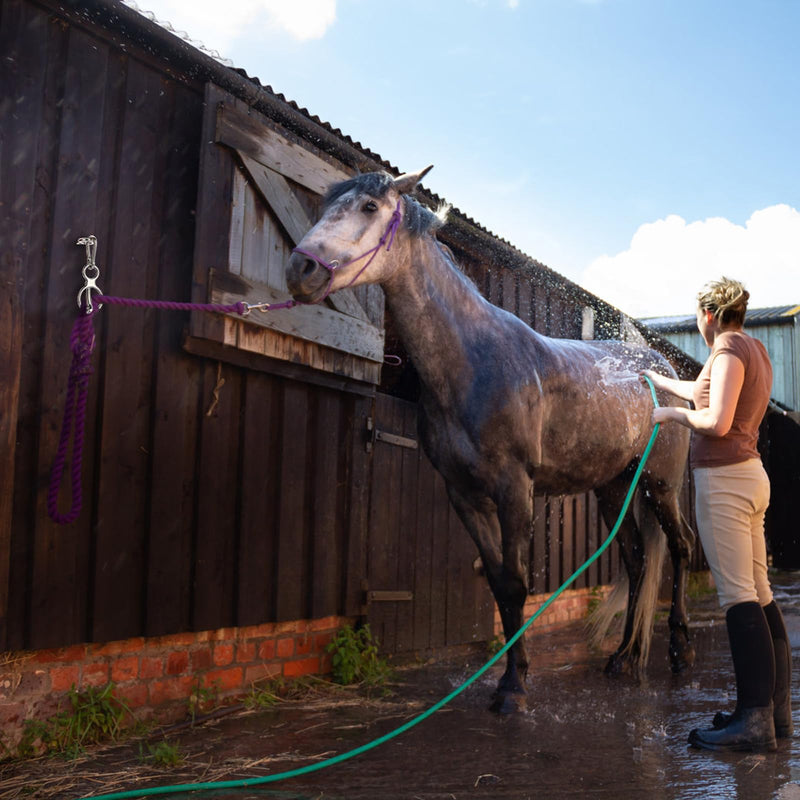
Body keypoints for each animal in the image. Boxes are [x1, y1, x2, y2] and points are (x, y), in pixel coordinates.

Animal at [286, 167, 696, 713]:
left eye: (370, 207)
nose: (300, 269)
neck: (472, 362)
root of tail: (661, 367)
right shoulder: (464, 495)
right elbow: (501, 585)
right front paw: (510, 677)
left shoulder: (514, 489)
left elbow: (518, 583)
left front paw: (514, 687)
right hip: (615, 488)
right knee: (636, 561)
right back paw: (623, 658)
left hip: (660, 485)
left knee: (681, 548)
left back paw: (679, 651)